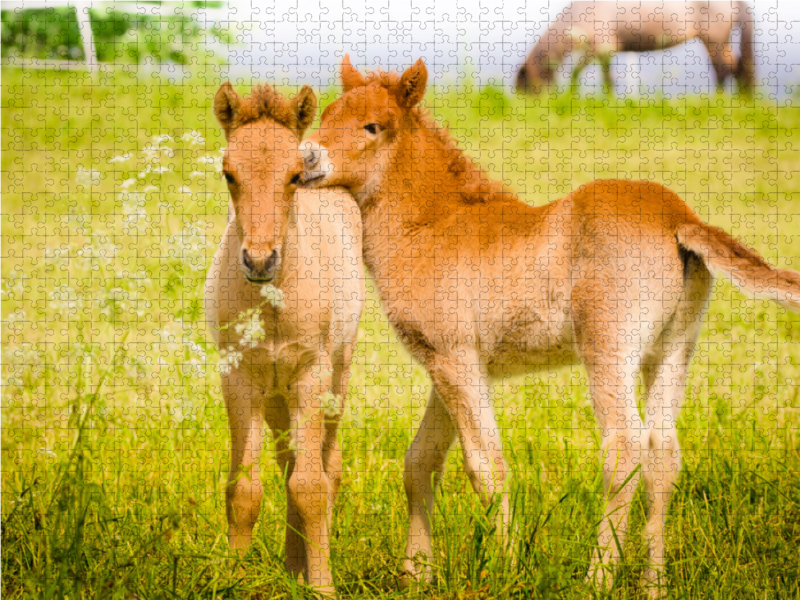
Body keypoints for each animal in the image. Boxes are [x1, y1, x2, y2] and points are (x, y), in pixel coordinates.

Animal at [208, 81, 368, 592]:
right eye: (228, 173)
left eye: (295, 175)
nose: (260, 260)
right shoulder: (239, 378)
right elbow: (244, 487)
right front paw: (234, 579)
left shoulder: (310, 376)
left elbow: (312, 485)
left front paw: (322, 587)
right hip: (276, 395)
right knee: (287, 462)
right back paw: (291, 564)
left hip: (335, 377)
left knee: (325, 464)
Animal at [298, 56, 800, 596]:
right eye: (326, 115)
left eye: (372, 126)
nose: (305, 158)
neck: (432, 226)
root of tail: (679, 218)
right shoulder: (446, 365)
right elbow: (420, 463)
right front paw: (417, 574)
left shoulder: (454, 359)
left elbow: (486, 465)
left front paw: (506, 569)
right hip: (672, 350)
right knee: (663, 454)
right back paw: (654, 583)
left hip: (607, 348)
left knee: (625, 448)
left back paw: (597, 578)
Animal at [516, 0, 752, 94]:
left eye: (525, 88)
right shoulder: (600, 52)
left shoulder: (601, 47)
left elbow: (590, 76)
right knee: (738, 67)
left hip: (714, 39)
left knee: (724, 69)